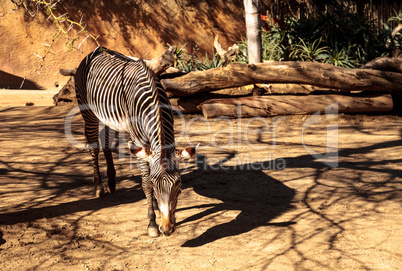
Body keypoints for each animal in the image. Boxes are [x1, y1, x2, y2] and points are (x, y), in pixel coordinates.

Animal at [74, 47, 197, 238]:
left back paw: (111, 182)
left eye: (178, 184)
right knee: (94, 147)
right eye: (154, 184)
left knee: (106, 141)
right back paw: (99, 187)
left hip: (109, 117)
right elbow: (144, 183)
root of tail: (96, 50)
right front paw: (152, 222)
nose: (167, 229)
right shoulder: (139, 142)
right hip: (88, 112)